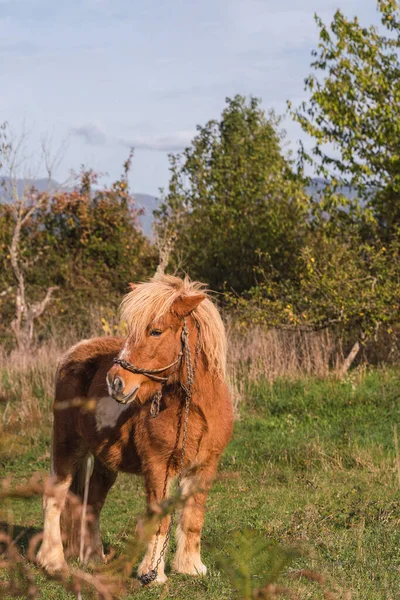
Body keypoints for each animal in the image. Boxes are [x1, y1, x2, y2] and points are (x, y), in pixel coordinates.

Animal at [36, 274, 234, 584]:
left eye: (155, 331)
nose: (115, 382)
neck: (193, 408)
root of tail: (73, 352)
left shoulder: (204, 466)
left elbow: (193, 517)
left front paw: (190, 567)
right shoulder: (158, 467)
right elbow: (160, 519)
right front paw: (152, 574)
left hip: (104, 461)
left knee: (92, 503)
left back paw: (94, 557)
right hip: (67, 446)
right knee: (54, 497)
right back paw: (53, 563)